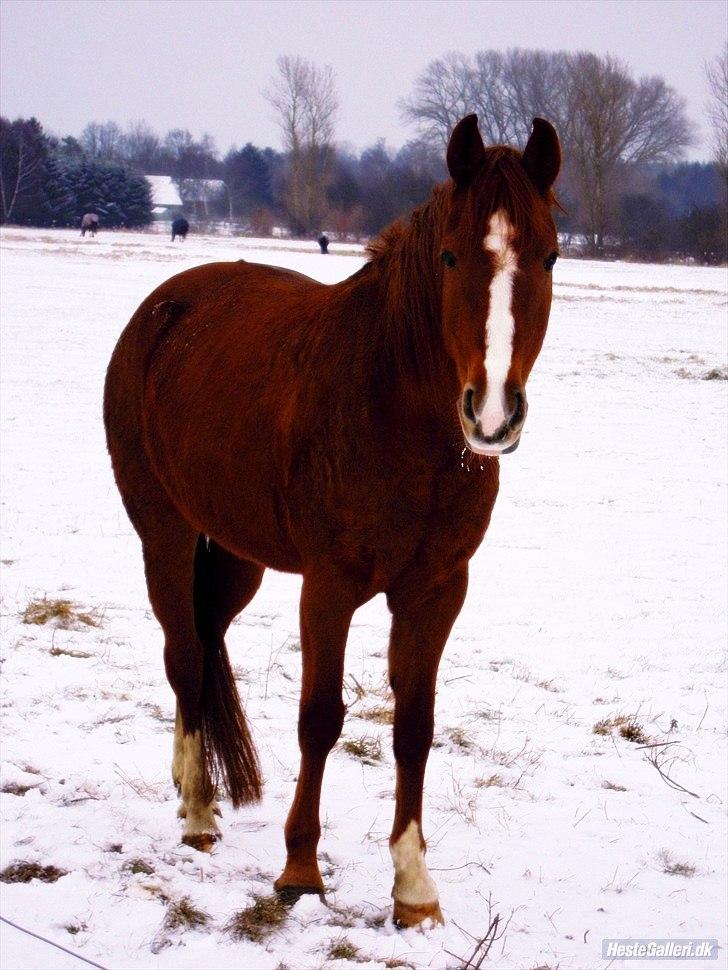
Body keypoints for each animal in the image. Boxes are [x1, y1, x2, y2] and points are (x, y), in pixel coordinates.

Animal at [104, 113, 556, 924]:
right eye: (450, 255)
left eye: (550, 256)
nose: (493, 413)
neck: (398, 413)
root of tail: (163, 309)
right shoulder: (330, 585)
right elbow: (320, 717)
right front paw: (299, 870)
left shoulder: (436, 590)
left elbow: (414, 726)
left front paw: (413, 888)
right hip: (165, 532)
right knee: (184, 655)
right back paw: (198, 811)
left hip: (239, 556)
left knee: (204, 641)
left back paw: (199, 791)